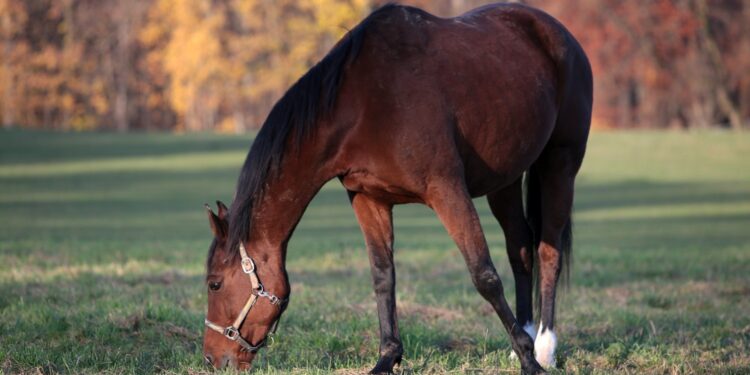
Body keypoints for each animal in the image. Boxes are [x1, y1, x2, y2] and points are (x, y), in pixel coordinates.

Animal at [203, 3, 592, 375]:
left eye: (214, 284)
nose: (212, 359)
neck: (364, 103)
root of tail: (556, 32)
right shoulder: (368, 199)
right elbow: (383, 276)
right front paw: (387, 357)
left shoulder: (447, 190)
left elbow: (484, 275)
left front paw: (529, 360)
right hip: (505, 181)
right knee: (520, 249)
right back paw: (524, 335)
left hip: (560, 164)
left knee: (548, 253)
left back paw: (543, 347)